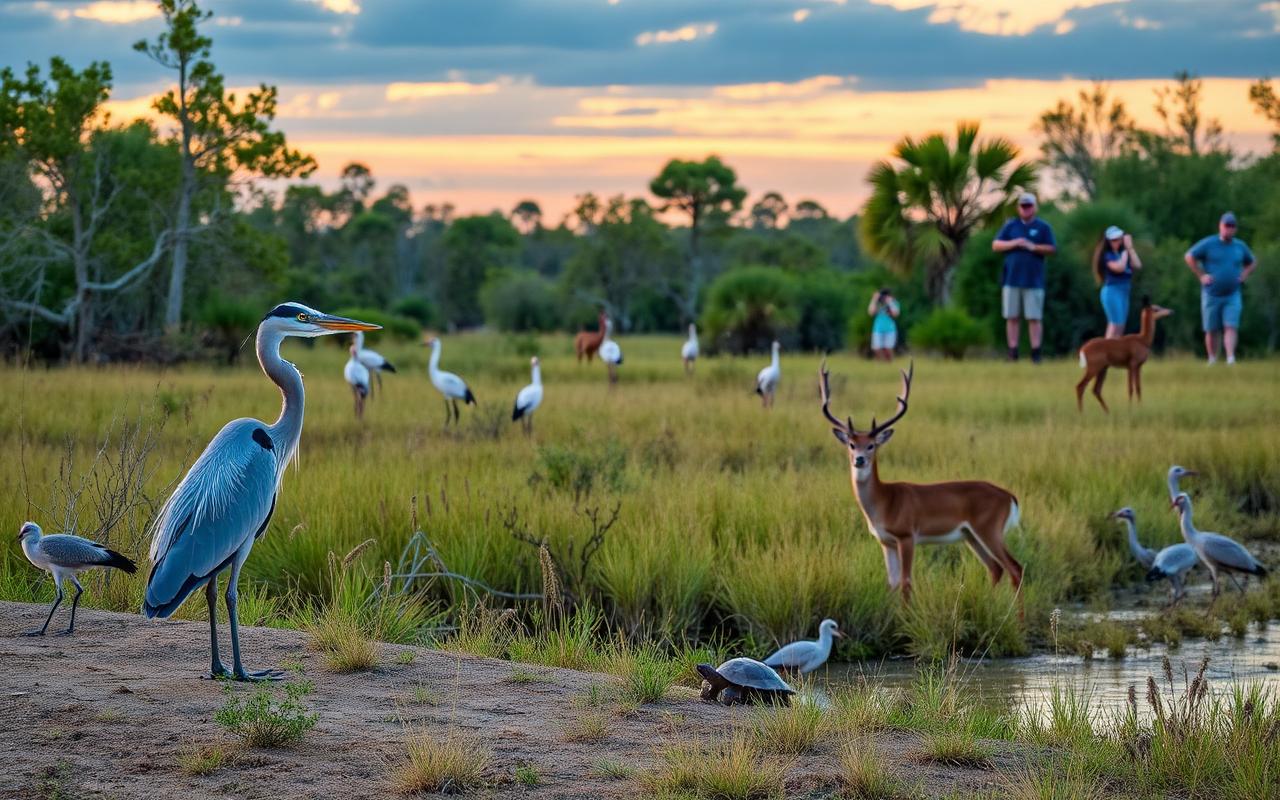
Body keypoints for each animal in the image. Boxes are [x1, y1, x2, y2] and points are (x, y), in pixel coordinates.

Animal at [819, 361, 1024, 603]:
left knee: (1015, 568)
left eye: (871, 445)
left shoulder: (907, 536)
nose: (859, 459)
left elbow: (906, 582)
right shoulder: (886, 541)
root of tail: (1010, 497)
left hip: (990, 529)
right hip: (970, 535)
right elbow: (892, 583)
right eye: (851, 444)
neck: (885, 500)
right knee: (995, 568)